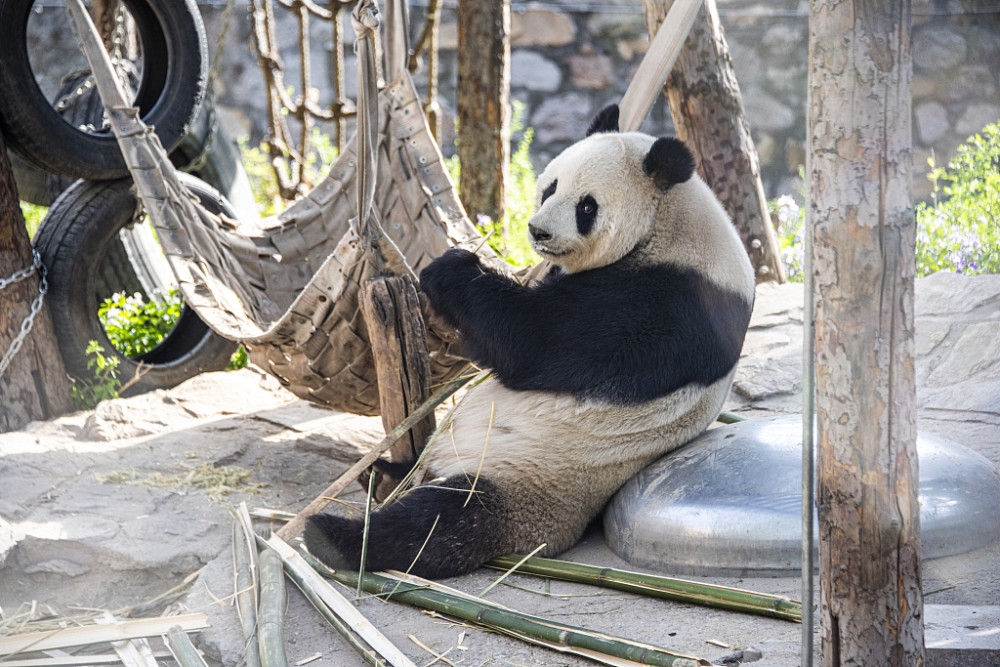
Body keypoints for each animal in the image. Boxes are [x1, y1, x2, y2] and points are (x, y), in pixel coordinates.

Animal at [300, 105, 752, 580]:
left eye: (586, 205)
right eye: (549, 187)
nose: (537, 232)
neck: (672, 222)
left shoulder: (671, 303)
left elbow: (536, 343)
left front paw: (452, 267)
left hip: (534, 480)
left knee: (445, 520)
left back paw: (336, 536)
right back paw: (382, 473)